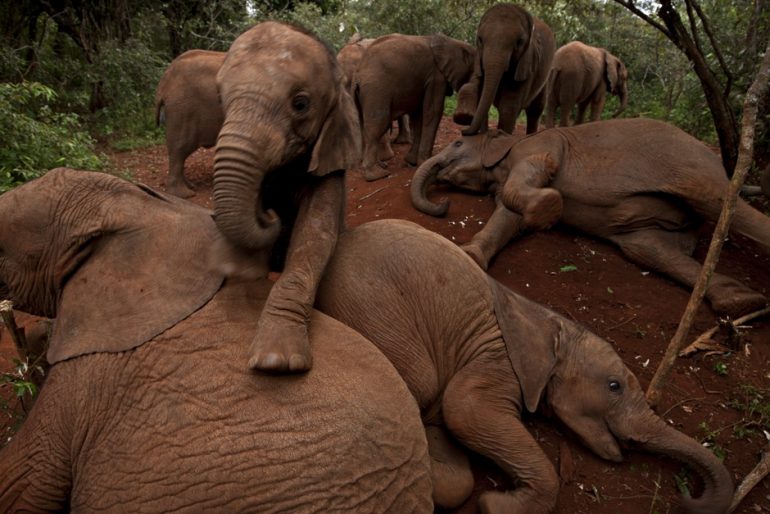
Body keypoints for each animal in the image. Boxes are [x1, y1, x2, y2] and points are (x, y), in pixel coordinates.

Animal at [213, 21, 360, 372]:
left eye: (301, 104)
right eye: (220, 97)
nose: (270, 215)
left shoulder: (331, 155)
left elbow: (315, 233)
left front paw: (275, 361)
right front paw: (236, 267)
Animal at [316, 219, 733, 514]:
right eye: (614, 386)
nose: (687, 494)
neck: (556, 328)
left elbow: (452, 418)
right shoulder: (499, 362)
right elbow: (464, 408)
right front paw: (493, 504)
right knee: (421, 382)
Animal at [353, 33, 475, 180]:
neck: (452, 42)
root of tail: (358, 74)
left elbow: (417, 117)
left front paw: (411, 162)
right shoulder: (436, 76)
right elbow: (433, 111)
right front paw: (425, 162)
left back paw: (381, 166)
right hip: (375, 90)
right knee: (377, 126)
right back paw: (377, 175)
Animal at [411, 118, 770, 317]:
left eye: (458, 142)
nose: (443, 202)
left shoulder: (541, 145)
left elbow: (532, 178)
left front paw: (550, 208)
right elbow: (508, 217)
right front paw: (468, 256)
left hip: (691, 167)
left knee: (724, 204)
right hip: (653, 230)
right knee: (648, 250)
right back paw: (742, 304)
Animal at [453, 3, 555, 136]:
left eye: (519, 42)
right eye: (480, 39)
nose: (463, 131)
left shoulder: (526, 65)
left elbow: (508, 106)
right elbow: (482, 96)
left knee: (535, 109)